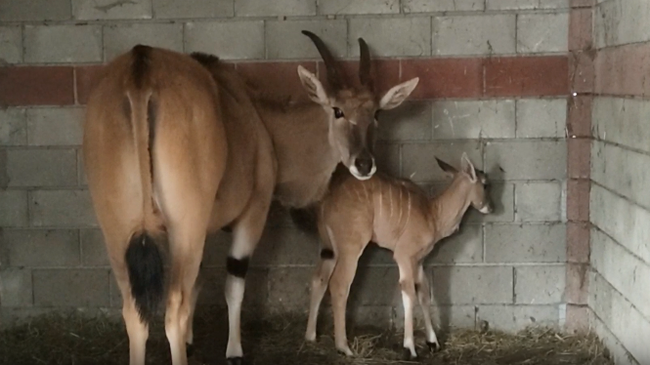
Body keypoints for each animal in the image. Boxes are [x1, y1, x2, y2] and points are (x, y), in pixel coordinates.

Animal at [304, 152, 492, 356]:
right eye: (485, 183)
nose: (490, 207)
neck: (433, 213)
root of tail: (326, 202)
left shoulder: (419, 261)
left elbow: (424, 294)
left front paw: (433, 342)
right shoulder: (404, 255)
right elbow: (409, 293)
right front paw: (410, 347)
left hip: (330, 249)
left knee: (318, 279)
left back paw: (310, 336)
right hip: (350, 248)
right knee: (339, 284)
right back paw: (344, 347)